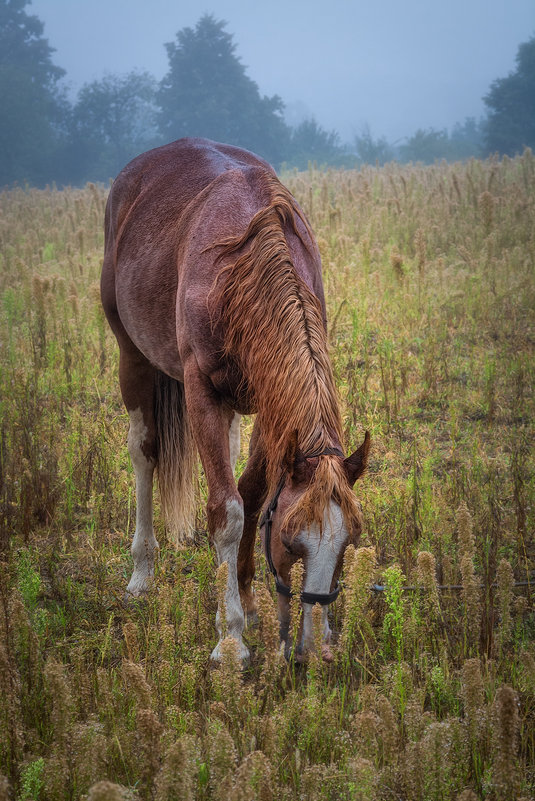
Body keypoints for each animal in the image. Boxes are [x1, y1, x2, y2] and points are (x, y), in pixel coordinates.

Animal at [100, 139, 370, 664]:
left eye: (348, 541)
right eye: (290, 540)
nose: (315, 650)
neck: (241, 270)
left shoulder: (271, 403)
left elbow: (250, 493)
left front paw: (244, 597)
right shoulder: (201, 391)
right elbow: (226, 512)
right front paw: (230, 639)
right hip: (132, 358)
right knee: (144, 454)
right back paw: (142, 571)